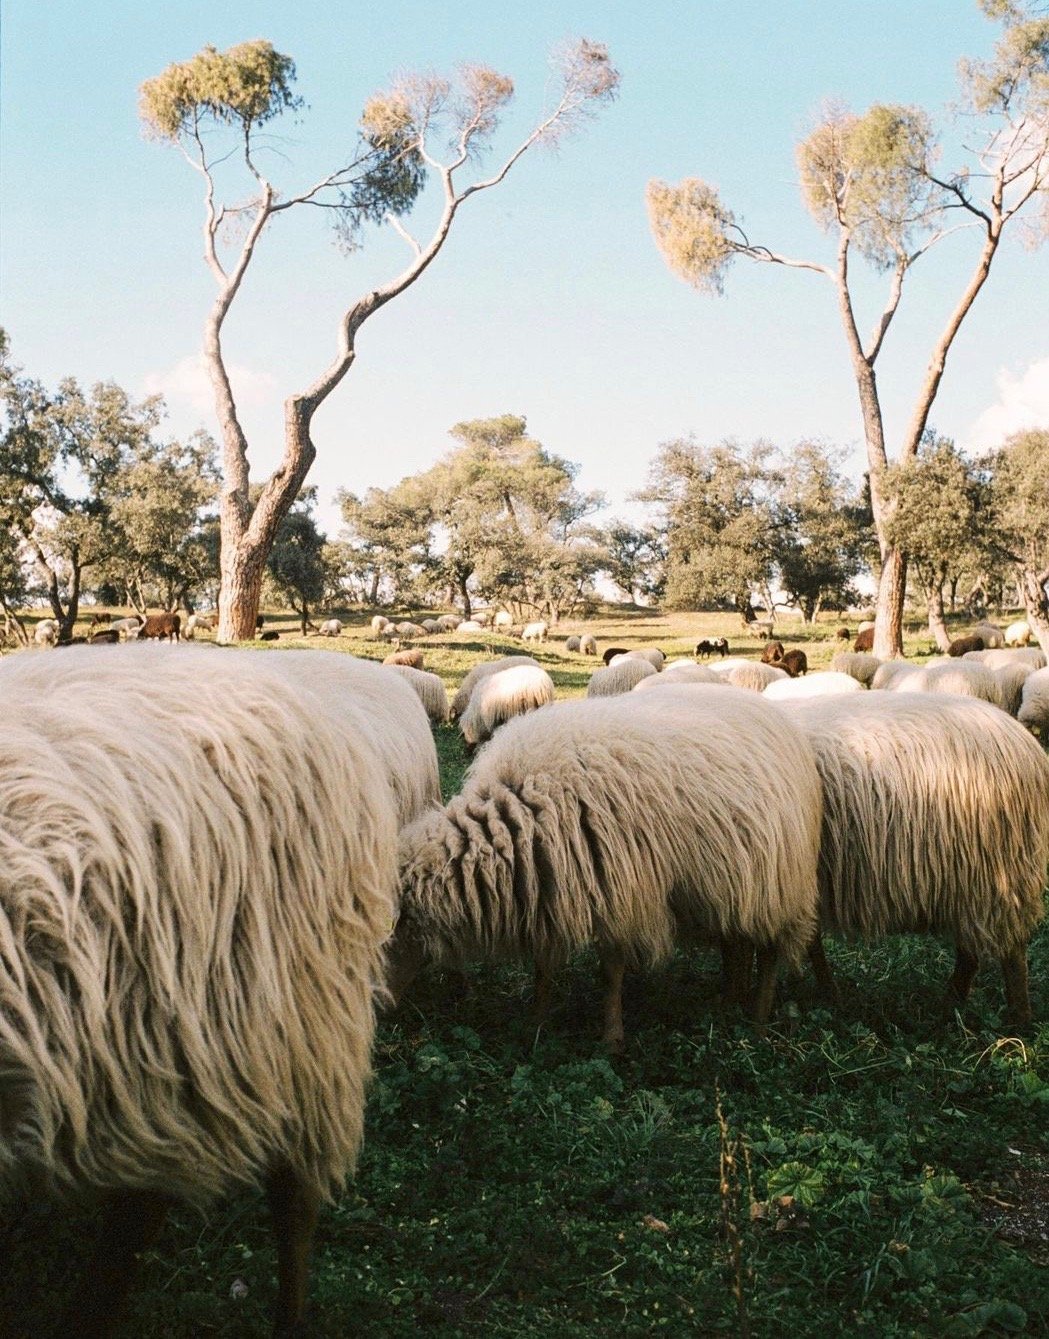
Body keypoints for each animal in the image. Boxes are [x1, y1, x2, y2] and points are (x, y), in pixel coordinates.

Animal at [388, 690, 825, 1044]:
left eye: (389, 938)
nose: (385, 1008)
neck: (520, 812)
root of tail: (775, 715)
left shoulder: (621, 890)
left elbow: (611, 971)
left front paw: (611, 1039)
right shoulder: (550, 884)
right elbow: (544, 964)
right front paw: (536, 1021)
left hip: (780, 879)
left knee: (770, 952)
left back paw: (757, 1021)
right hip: (735, 880)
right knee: (738, 943)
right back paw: (728, 1002)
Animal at [782, 696, 1044, 1017]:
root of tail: (1025, 744)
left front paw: (826, 992)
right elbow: (811, 941)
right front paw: (827, 992)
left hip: (997, 877)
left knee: (1010, 956)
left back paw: (1016, 1019)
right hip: (976, 879)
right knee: (974, 950)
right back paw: (952, 1004)